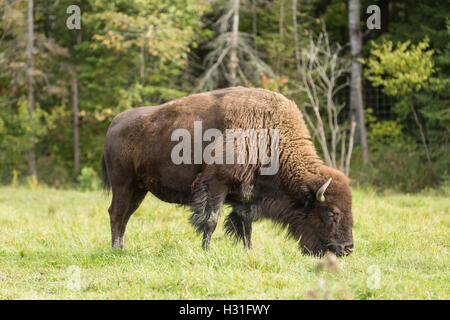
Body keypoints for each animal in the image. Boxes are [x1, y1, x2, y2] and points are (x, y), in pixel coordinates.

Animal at [102, 86, 356, 256]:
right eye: (332, 213)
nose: (347, 248)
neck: (268, 134)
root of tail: (115, 122)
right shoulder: (216, 185)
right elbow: (210, 220)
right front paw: (206, 252)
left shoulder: (247, 195)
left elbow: (245, 224)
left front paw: (248, 251)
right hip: (123, 185)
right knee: (117, 213)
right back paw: (116, 250)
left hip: (139, 189)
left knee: (125, 215)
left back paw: (121, 248)